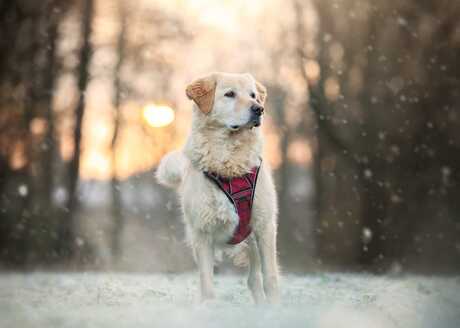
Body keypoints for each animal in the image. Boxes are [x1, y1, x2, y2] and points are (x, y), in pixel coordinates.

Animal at [157, 73, 280, 304]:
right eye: (230, 94)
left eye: (253, 95)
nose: (259, 109)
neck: (229, 162)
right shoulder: (203, 233)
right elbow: (207, 284)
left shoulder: (264, 225)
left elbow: (270, 277)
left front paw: (277, 307)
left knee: (254, 279)